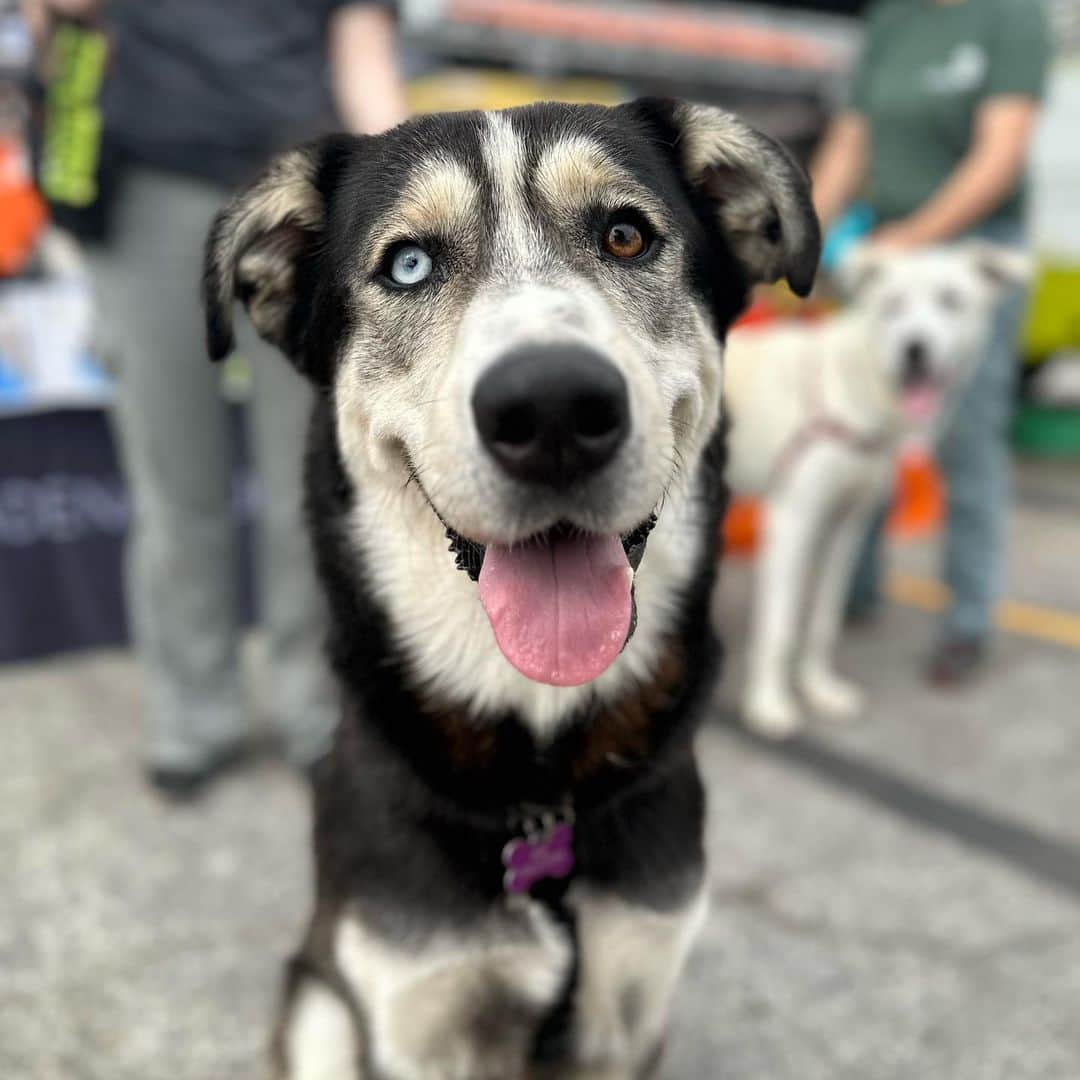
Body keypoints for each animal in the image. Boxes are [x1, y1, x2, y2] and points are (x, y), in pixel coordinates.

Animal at [203, 97, 816, 1075]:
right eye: (408, 264)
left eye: (626, 235)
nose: (554, 409)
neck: (540, 792)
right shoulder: (418, 1007)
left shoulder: (632, 997)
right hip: (320, 1010)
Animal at [725, 240, 1028, 738]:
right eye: (893, 306)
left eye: (951, 301)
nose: (915, 350)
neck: (855, 389)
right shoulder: (794, 523)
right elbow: (781, 627)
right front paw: (768, 705)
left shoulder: (845, 527)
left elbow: (822, 622)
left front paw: (819, 689)